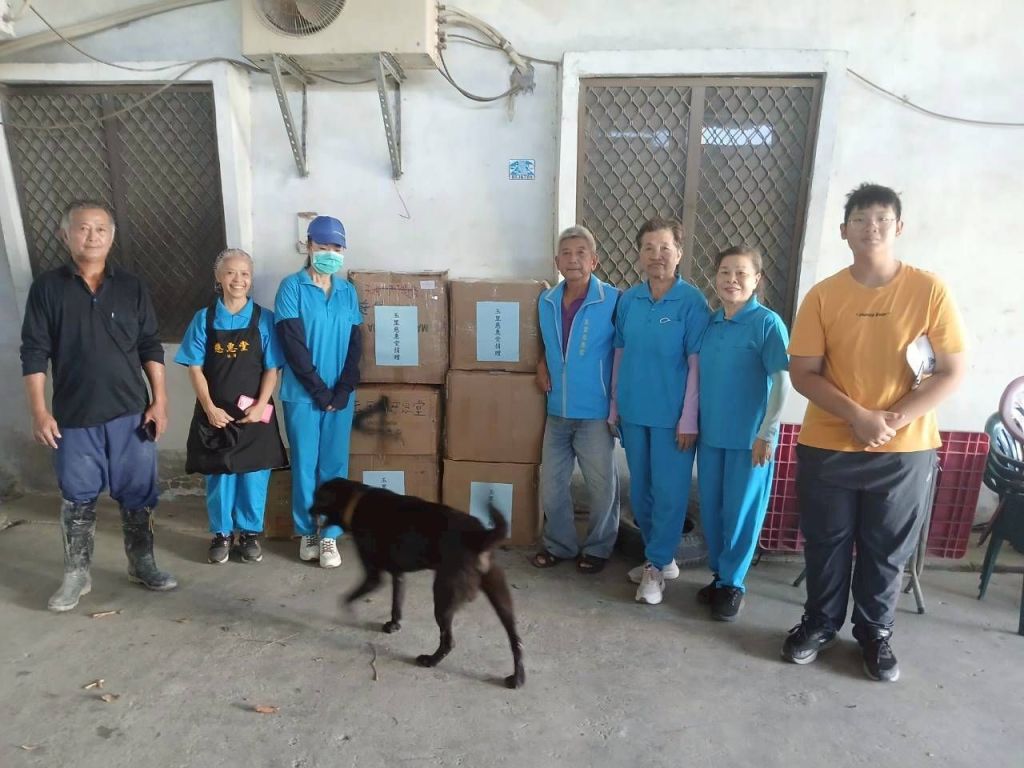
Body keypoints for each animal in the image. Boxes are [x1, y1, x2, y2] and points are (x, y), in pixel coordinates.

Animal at [311, 477, 525, 689]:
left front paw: (349, 612)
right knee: (516, 640)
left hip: (443, 597)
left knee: (448, 641)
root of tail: (480, 536)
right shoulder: (398, 575)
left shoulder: (373, 577)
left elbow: (347, 597)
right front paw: (394, 624)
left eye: (317, 497)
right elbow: (396, 604)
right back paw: (517, 678)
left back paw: (430, 660)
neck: (356, 500)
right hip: (500, 597)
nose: (308, 510)